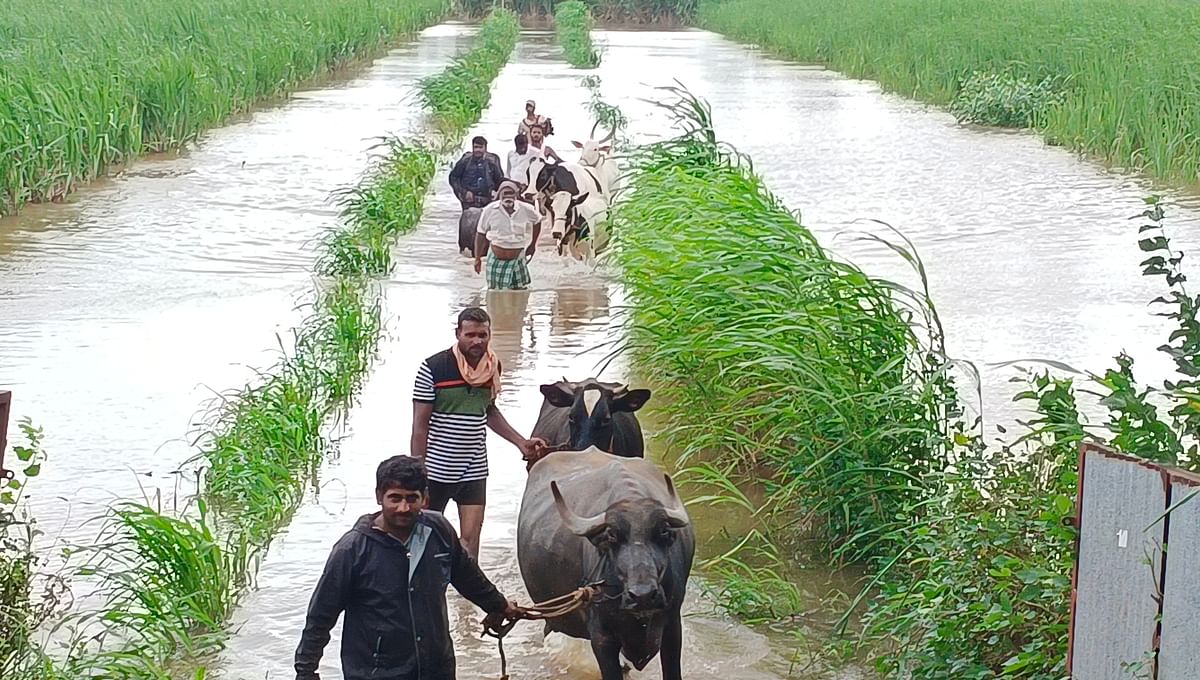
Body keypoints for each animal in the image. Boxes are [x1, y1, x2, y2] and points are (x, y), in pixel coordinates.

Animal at [516, 446, 696, 680]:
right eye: (612, 535)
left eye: (663, 531)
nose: (643, 595)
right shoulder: (602, 637)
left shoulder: (672, 625)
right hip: (553, 614)